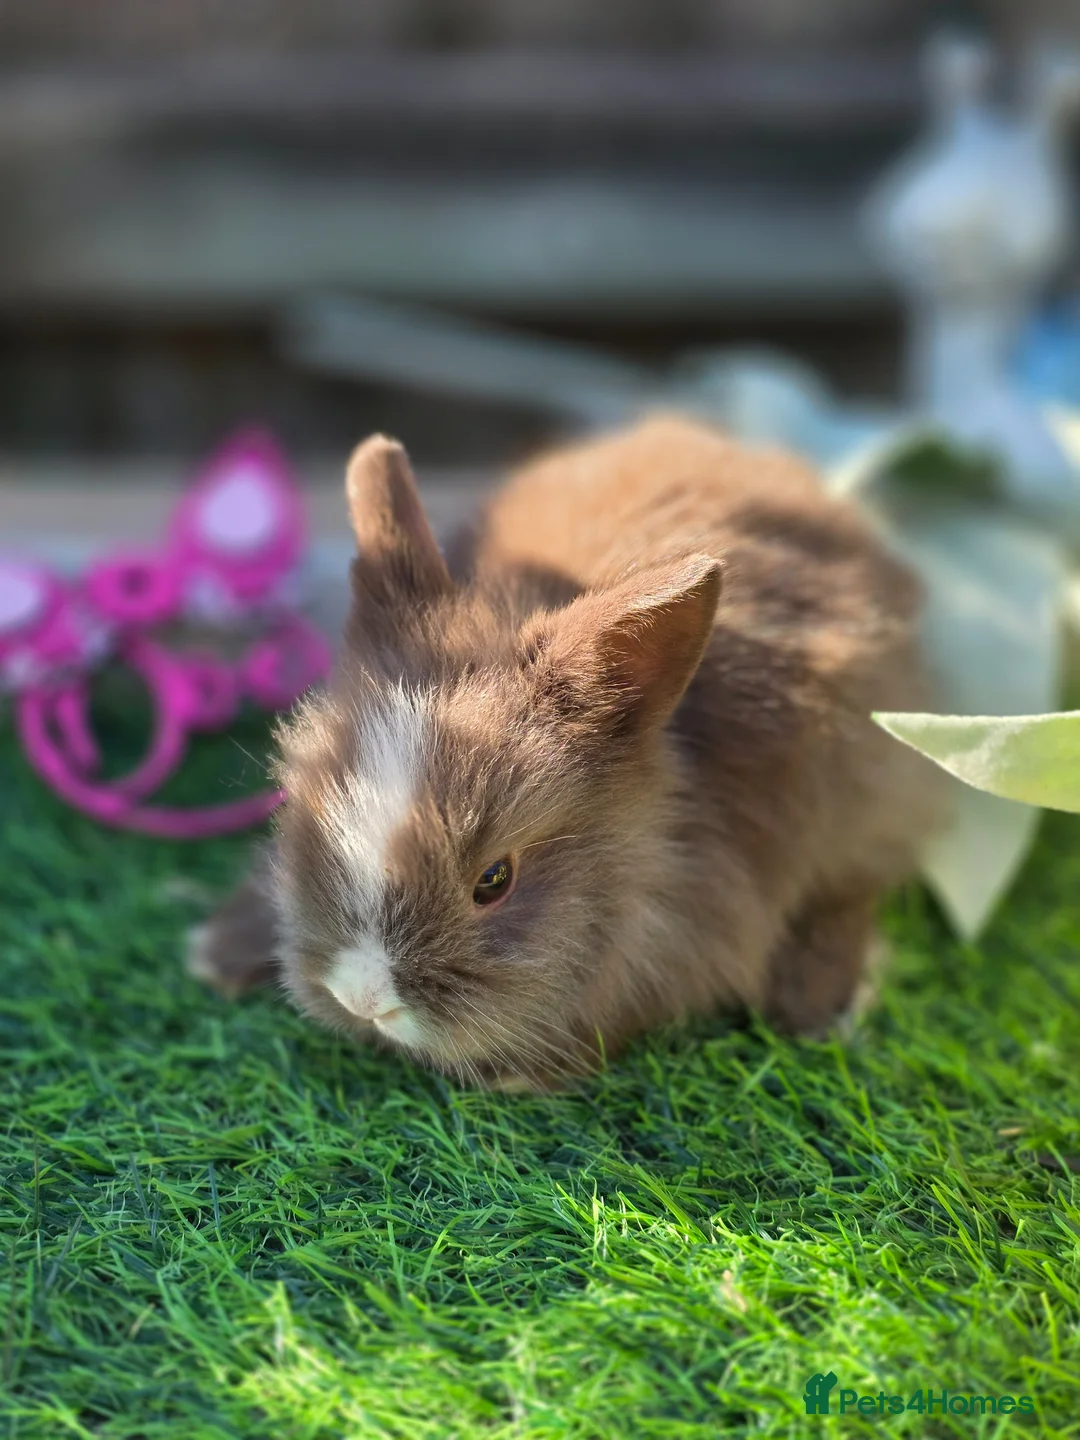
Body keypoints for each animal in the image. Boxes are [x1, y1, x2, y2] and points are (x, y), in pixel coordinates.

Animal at [186, 414, 942, 1091]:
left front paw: (518, 1077)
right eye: (302, 804)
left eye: (495, 880)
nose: (363, 999)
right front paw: (215, 955)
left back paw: (823, 1006)